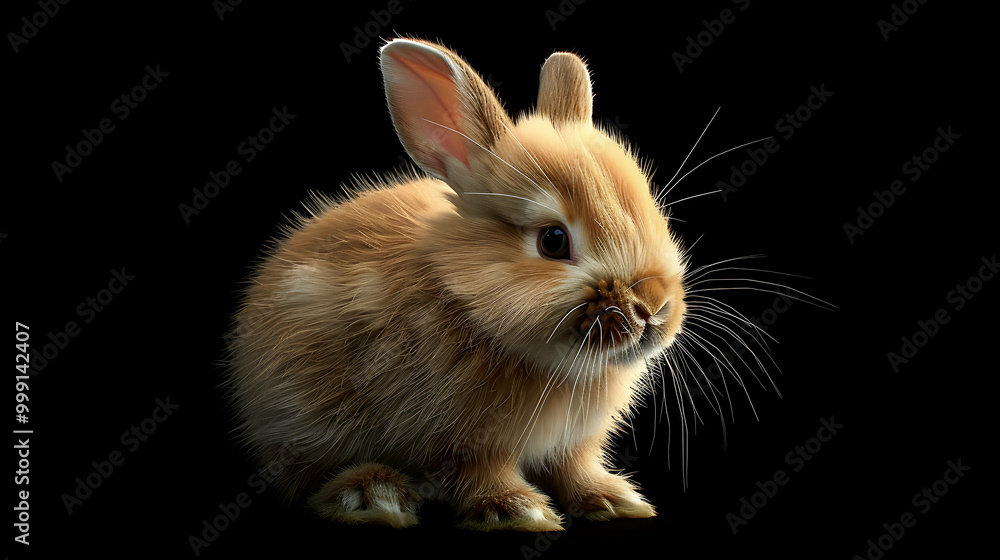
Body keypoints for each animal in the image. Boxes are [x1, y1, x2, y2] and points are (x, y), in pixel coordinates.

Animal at [224, 37, 689, 532]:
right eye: (553, 241)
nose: (652, 307)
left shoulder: (573, 443)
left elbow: (574, 468)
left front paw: (613, 500)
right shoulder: (461, 440)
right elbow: (479, 473)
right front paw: (518, 510)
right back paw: (372, 495)